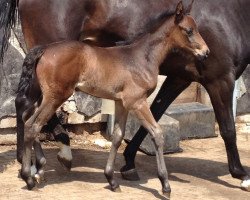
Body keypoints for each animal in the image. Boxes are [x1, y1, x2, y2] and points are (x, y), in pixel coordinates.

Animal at [0, 0, 249, 191]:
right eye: (189, 31)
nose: (205, 53)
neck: (140, 55)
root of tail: (44, 49)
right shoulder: (139, 100)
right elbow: (159, 133)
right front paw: (165, 184)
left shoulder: (125, 101)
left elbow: (121, 135)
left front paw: (114, 177)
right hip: (55, 94)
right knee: (33, 123)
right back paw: (34, 172)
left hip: (43, 91)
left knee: (26, 111)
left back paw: (33, 166)